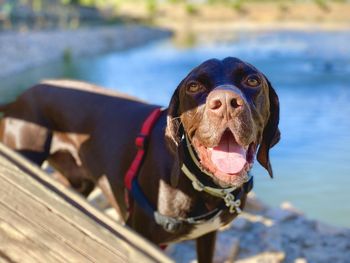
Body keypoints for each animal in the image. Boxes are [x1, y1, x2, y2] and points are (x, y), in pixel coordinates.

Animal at [0, 58, 278, 263]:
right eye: (194, 86)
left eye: (252, 80)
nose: (227, 103)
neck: (202, 185)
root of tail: (19, 97)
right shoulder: (142, 238)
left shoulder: (207, 236)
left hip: (79, 180)